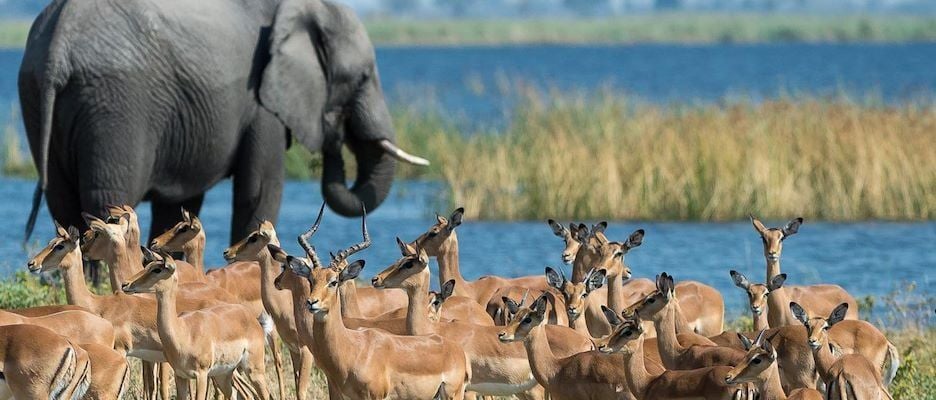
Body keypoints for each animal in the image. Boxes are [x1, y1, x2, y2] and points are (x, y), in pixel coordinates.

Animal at [18, 0, 428, 244]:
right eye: (361, 77)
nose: (336, 133)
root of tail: (58, 46)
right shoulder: (259, 101)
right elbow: (261, 191)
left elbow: (178, 207)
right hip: (114, 101)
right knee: (107, 204)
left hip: (38, 96)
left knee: (64, 205)